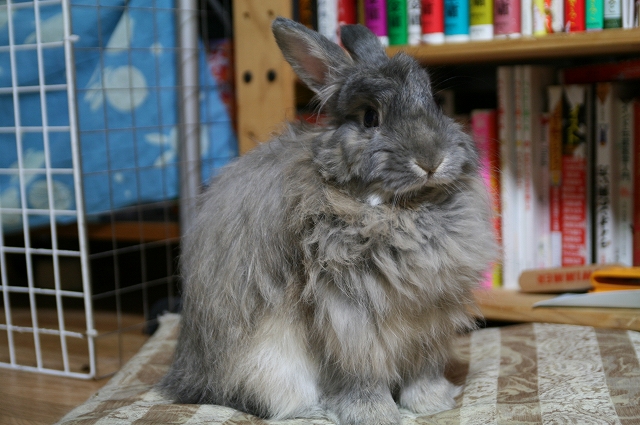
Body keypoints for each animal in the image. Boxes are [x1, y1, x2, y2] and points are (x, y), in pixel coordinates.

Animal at [159, 17, 497, 425]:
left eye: (432, 101)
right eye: (370, 118)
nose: (432, 160)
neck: (398, 209)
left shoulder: (430, 321)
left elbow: (423, 368)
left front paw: (432, 404)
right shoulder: (349, 319)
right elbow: (361, 374)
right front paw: (374, 415)